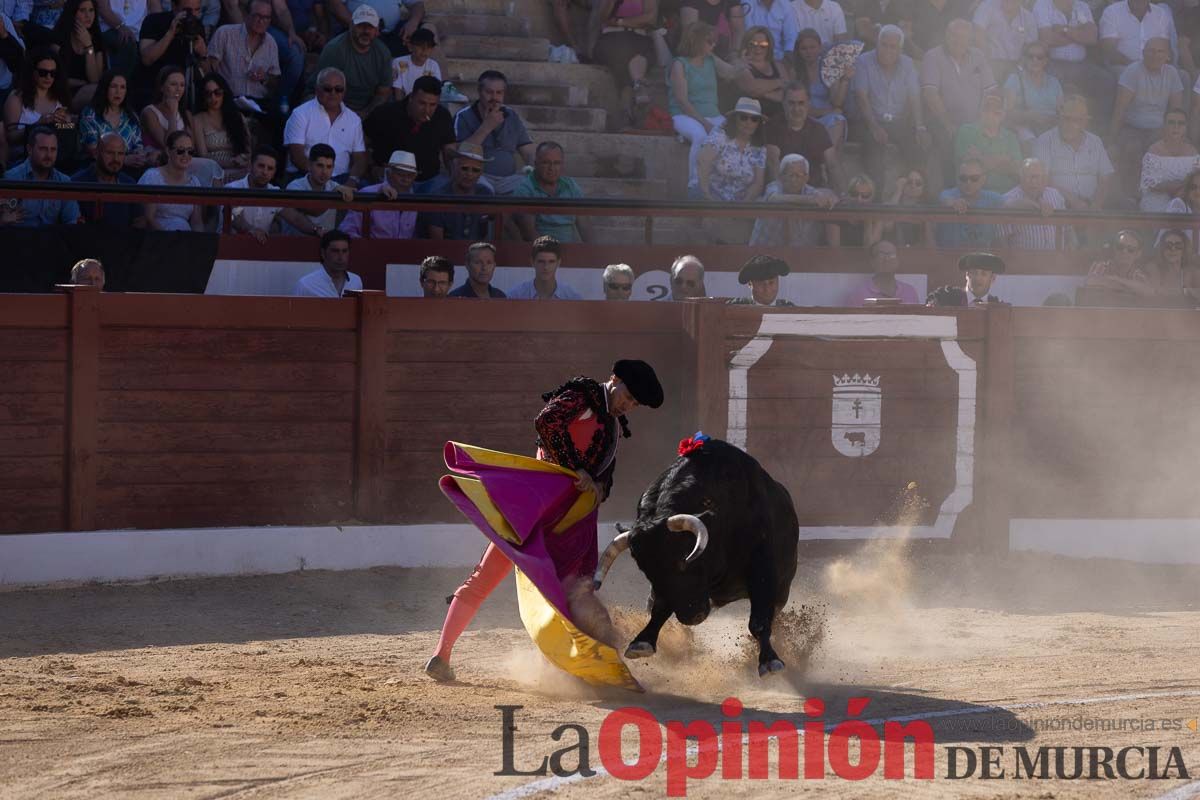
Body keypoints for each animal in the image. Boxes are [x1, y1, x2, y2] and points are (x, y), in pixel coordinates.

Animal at [590, 438, 796, 676]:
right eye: (644, 570)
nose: (692, 616)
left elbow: (759, 620)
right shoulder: (663, 587)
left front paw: (770, 661)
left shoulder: (762, 568)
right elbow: (659, 608)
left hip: (782, 588)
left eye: (684, 560)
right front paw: (641, 643)